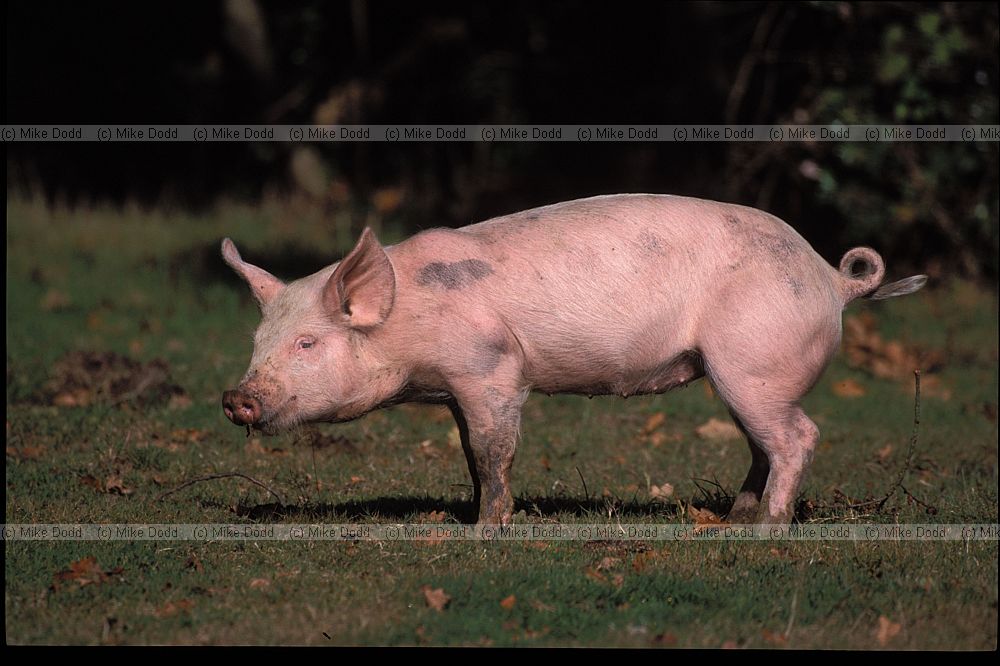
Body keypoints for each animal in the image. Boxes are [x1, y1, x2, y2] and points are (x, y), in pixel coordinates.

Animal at [221, 194, 926, 525]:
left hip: (755, 362)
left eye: (307, 343)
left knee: (799, 436)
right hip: (743, 377)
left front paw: (484, 531)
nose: (235, 397)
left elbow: (494, 452)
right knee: (766, 444)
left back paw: (766, 531)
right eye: (257, 342)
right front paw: (473, 513)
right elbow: (470, 453)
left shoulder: (493, 369)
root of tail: (832, 280)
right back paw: (731, 520)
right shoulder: (457, 390)